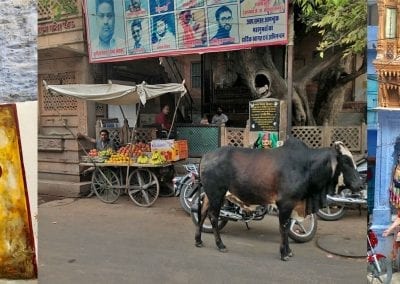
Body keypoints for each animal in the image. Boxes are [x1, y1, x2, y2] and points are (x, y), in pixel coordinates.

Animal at [195, 136, 366, 260]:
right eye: (346, 161)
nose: (360, 185)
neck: (308, 166)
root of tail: (206, 155)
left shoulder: (293, 203)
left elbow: (288, 225)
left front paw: (288, 251)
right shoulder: (285, 203)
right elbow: (283, 227)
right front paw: (284, 253)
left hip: (210, 195)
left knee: (202, 213)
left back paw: (198, 240)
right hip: (217, 194)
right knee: (213, 216)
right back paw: (220, 245)